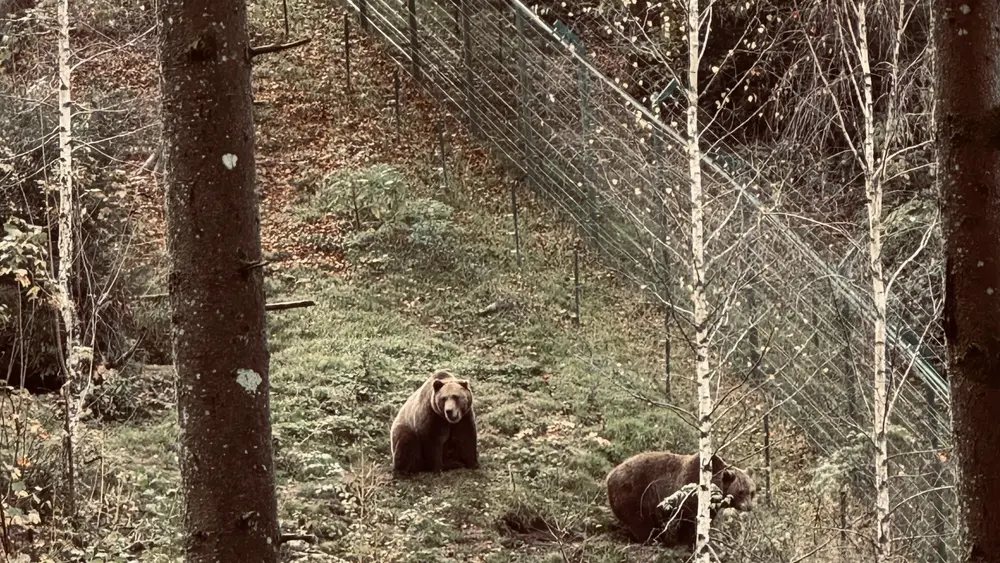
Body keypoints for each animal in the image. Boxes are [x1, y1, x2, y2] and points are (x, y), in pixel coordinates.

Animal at [605, 450, 755, 548]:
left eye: (752, 492)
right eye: (741, 491)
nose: (749, 507)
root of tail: (610, 476)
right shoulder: (689, 494)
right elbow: (689, 522)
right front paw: (690, 542)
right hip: (634, 494)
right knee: (640, 522)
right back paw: (651, 540)